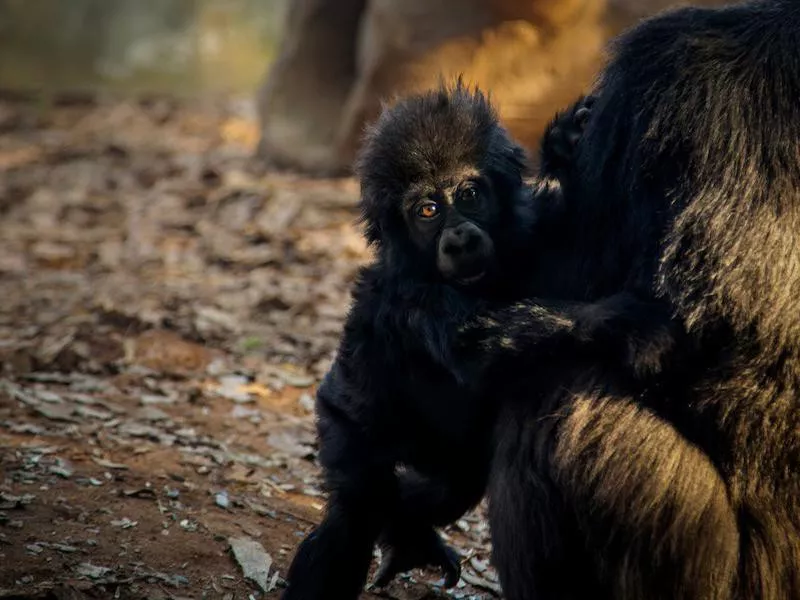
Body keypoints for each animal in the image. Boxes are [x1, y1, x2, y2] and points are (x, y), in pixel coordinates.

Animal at [280, 84, 588, 600]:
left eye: (469, 195)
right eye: (427, 210)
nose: (459, 238)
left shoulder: (532, 231)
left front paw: (566, 144)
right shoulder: (412, 297)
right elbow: (479, 346)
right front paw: (635, 323)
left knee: (449, 486)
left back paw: (406, 532)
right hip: (345, 421)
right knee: (354, 515)